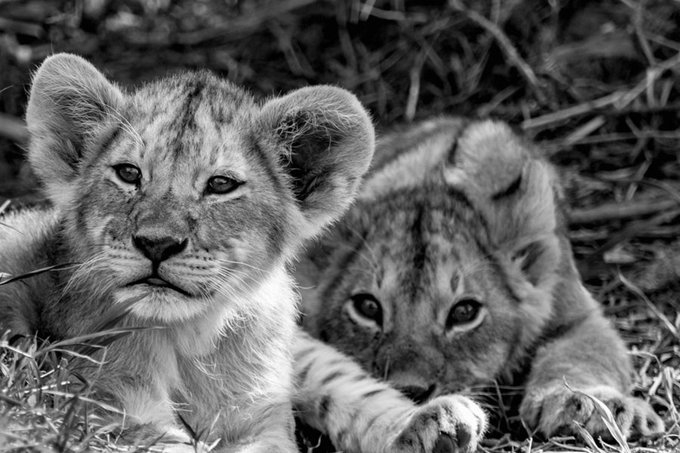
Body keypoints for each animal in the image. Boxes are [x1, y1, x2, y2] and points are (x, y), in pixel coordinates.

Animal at [0, 55, 487, 453]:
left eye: (220, 185)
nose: (157, 243)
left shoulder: (263, 421)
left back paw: (437, 422)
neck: (189, 340)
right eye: (128, 173)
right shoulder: (100, 406)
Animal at [298, 117, 665, 442]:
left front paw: (592, 406)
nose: (412, 390)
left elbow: (583, 356)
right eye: (368, 307)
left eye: (464, 312)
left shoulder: (577, 313)